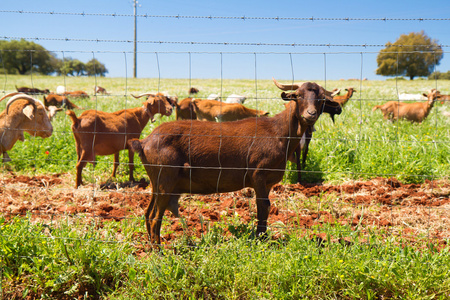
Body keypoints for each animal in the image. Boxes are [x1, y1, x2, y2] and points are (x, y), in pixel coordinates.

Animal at [126, 80, 342, 248]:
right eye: (298, 96)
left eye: (321, 99)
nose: (310, 114)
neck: (278, 132)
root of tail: (144, 142)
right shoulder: (258, 175)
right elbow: (263, 206)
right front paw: (261, 239)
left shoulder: (268, 181)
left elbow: (265, 207)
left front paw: (262, 236)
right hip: (166, 178)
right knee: (156, 217)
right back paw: (158, 252)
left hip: (157, 181)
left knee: (148, 213)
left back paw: (150, 246)